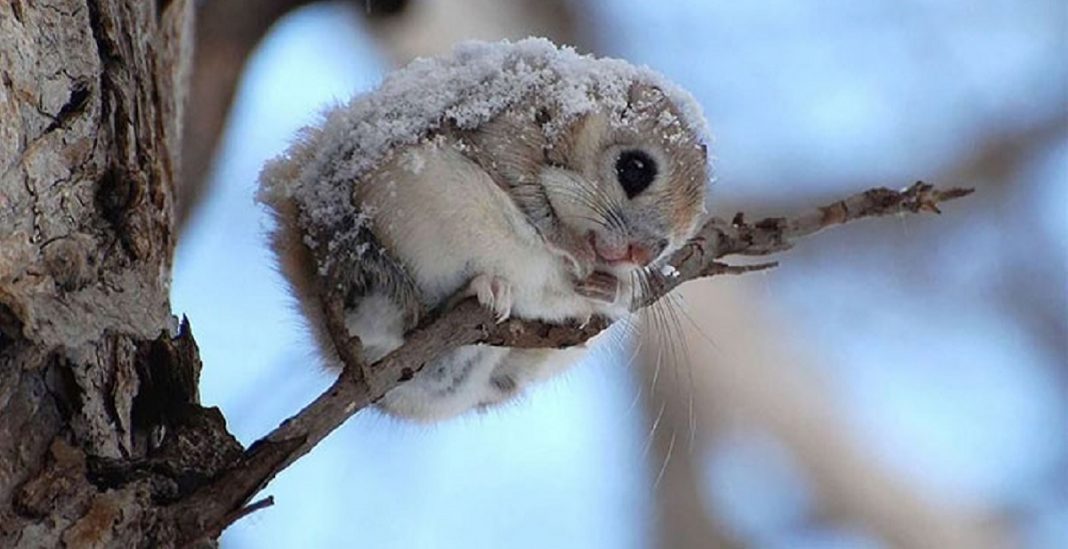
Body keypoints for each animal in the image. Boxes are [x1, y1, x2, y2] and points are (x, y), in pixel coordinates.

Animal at [257, 37, 709, 418]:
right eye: (635, 169)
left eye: (676, 239)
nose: (643, 253)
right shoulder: (505, 132)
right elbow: (530, 197)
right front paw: (572, 249)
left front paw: (613, 286)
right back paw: (478, 290)